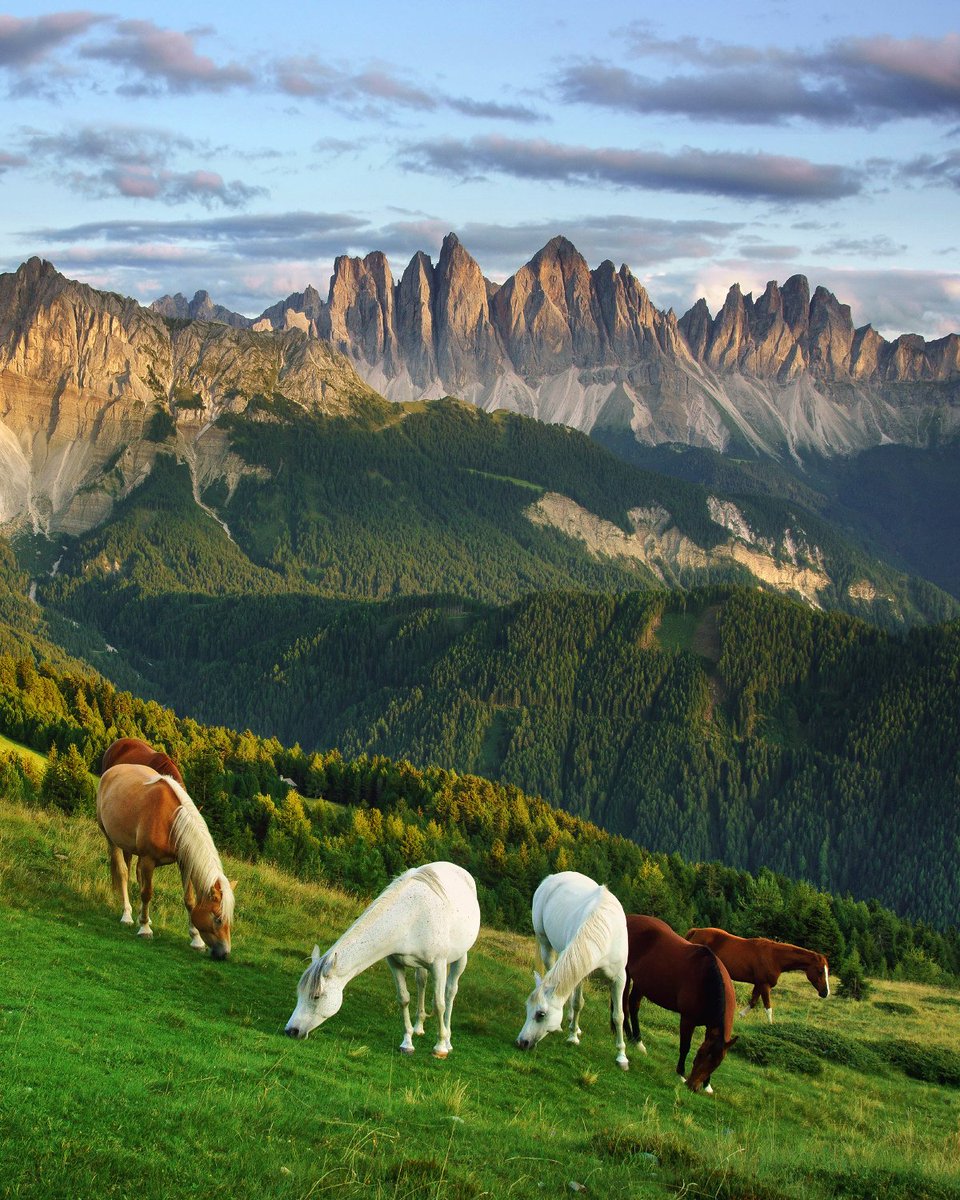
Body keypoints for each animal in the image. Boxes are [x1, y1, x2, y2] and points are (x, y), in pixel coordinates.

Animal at [96, 763, 235, 959]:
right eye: (218, 918)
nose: (224, 953)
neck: (171, 821)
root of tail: (113, 769)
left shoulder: (185, 862)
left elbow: (189, 900)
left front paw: (196, 940)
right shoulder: (149, 860)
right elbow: (147, 893)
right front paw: (145, 929)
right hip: (112, 839)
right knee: (123, 873)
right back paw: (127, 915)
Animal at [285, 862, 481, 1058]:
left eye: (316, 996)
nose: (291, 1031)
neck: (410, 917)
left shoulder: (438, 964)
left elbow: (439, 1004)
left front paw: (439, 1048)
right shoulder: (395, 963)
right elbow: (403, 999)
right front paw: (407, 1043)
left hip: (460, 957)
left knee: (450, 992)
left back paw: (447, 1041)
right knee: (421, 983)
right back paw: (419, 1027)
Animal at [515, 871, 630, 1071]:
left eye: (540, 1014)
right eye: (527, 1009)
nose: (522, 1042)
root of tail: (552, 878)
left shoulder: (619, 978)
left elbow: (618, 1016)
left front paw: (622, 1057)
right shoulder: (580, 972)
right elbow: (577, 1003)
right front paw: (572, 1037)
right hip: (546, 945)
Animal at [624, 915, 737, 1093]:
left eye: (716, 1063)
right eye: (700, 1054)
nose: (693, 1086)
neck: (706, 979)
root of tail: (629, 918)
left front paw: (708, 1086)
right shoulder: (687, 1020)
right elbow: (685, 1046)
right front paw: (681, 1073)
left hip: (642, 983)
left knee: (633, 1004)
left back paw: (637, 1041)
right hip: (625, 972)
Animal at [685, 927, 830, 1022]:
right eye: (820, 971)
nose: (825, 993)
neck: (774, 958)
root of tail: (696, 930)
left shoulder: (759, 984)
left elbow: (753, 1001)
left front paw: (740, 1016)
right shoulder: (765, 985)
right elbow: (768, 1007)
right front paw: (771, 1026)